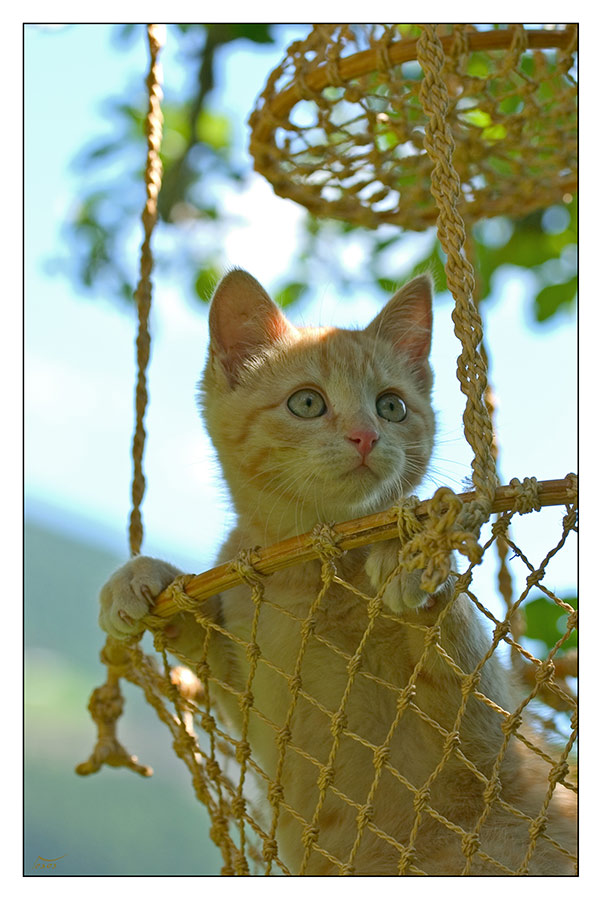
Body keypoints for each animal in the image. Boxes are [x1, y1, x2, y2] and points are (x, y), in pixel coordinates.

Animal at [101, 270, 576, 876]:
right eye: (307, 402)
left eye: (392, 407)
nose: (366, 436)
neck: (311, 575)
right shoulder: (248, 697)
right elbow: (211, 651)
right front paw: (144, 579)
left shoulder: (485, 739)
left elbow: (461, 664)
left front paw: (413, 556)